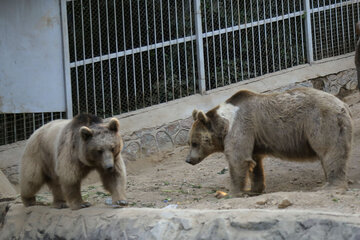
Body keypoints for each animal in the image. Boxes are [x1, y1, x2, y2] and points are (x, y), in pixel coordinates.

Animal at [186, 87, 352, 196]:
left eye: (194, 142)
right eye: (189, 142)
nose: (188, 160)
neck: (224, 124)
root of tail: (343, 104)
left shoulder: (241, 125)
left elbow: (237, 159)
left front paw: (230, 192)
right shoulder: (253, 138)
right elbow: (254, 164)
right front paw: (253, 190)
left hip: (321, 121)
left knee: (330, 151)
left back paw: (330, 187)